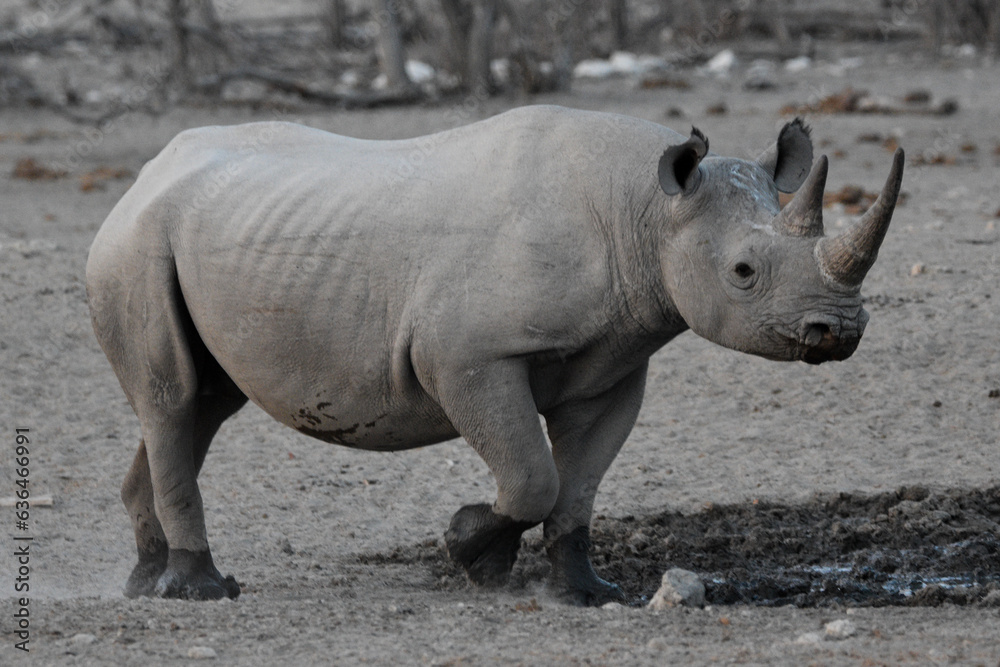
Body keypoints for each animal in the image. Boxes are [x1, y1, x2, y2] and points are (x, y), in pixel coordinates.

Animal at [86, 105, 903, 605]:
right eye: (742, 272)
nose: (837, 332)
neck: (648, 212)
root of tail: (143, 176)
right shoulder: (468, 356)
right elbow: (533, 475)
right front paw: (470, 549)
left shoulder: (616, 362)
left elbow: (577, 484)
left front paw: (583, 592)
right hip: (133, 247)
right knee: (171, 398)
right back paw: (203, 589)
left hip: (195, 238)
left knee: (202, 404)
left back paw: (145, 581)